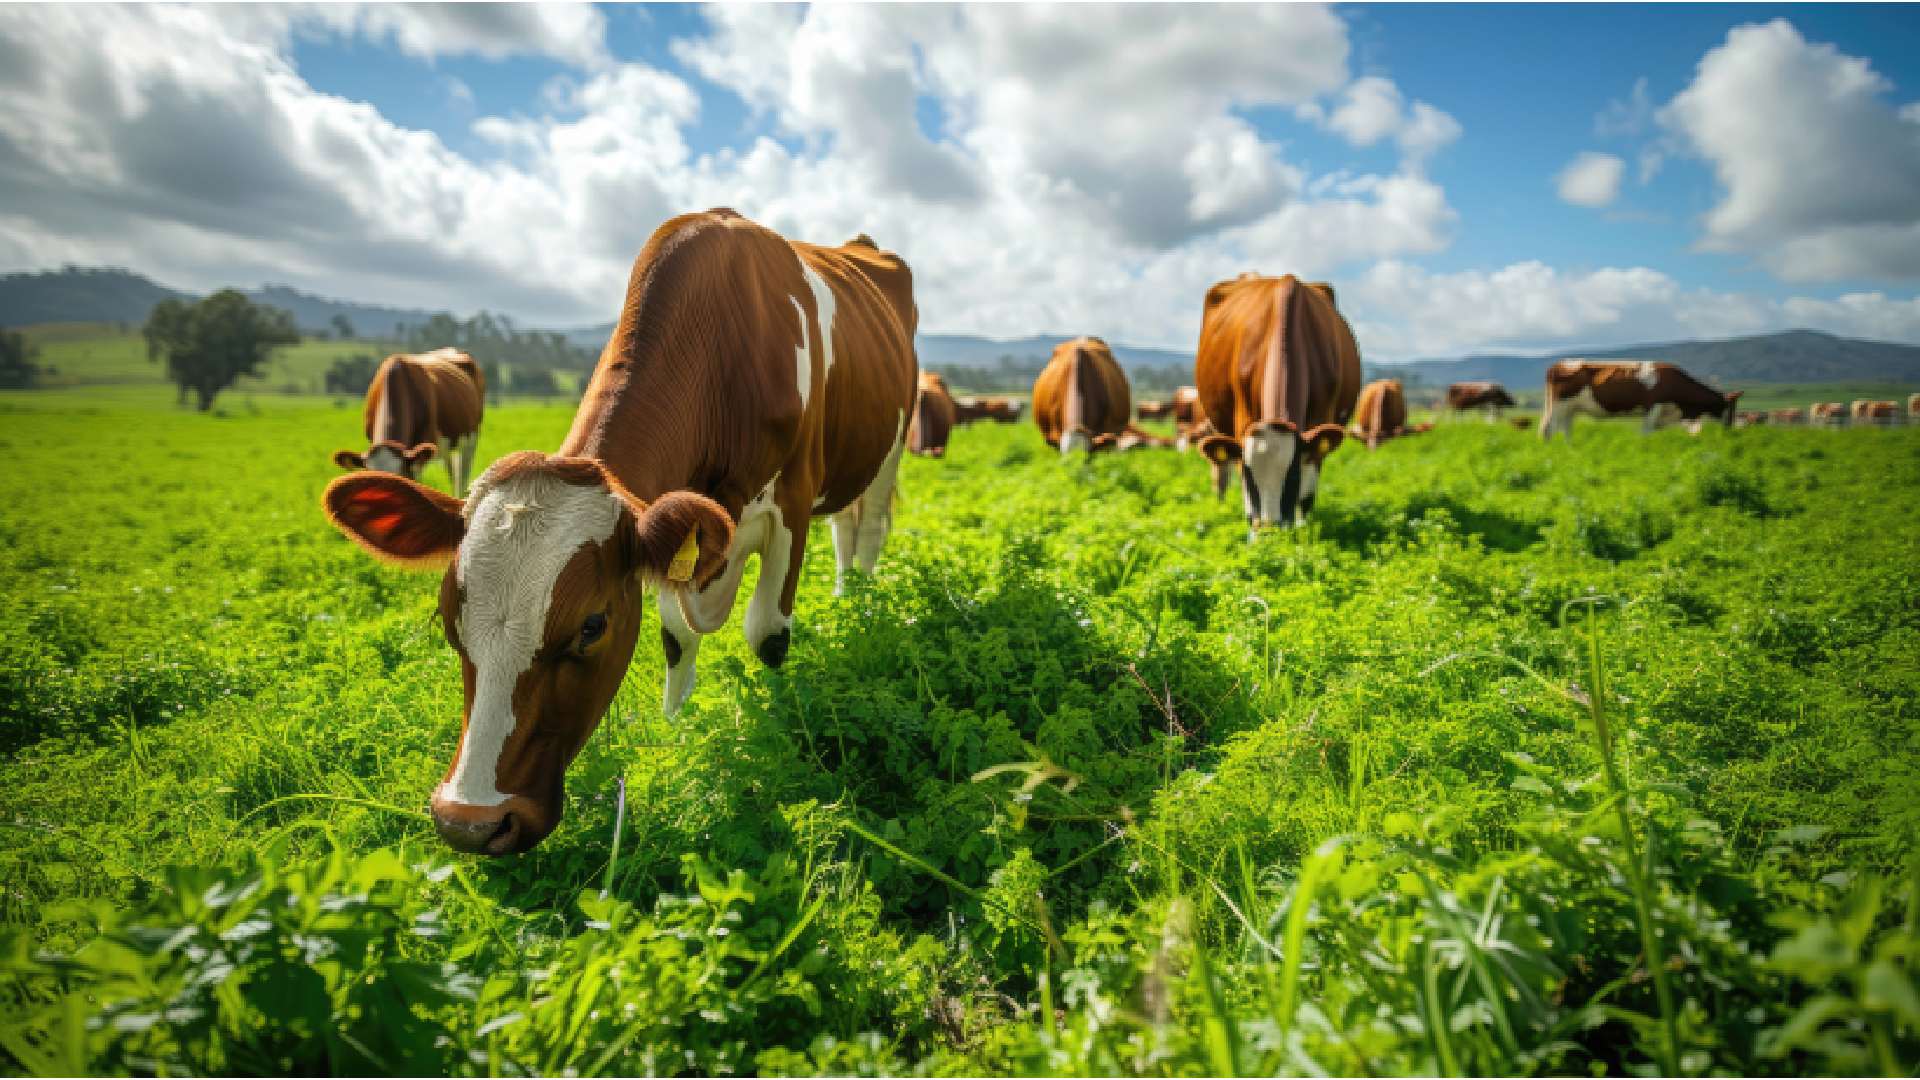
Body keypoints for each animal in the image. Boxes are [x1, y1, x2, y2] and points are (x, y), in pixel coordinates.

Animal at [1193, 273, 1361, 529]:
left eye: (1293, 475)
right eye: (1248, 474)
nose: (1270, 528)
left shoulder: (1319, 426)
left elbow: (1305, 498)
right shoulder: (1243, 423)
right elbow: (1249, 507)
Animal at [1538, 360, 1741, 440]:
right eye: (1729, 409)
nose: (1730, 433)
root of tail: (1559, 364)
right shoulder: (1653, 407)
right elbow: (1646, 434)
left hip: (1570, 409)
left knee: (1566, 430)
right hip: (1559, 406)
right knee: (1548, 430)